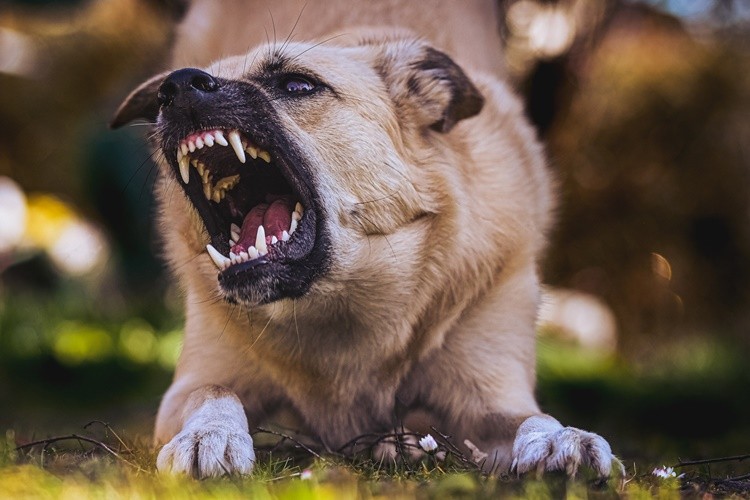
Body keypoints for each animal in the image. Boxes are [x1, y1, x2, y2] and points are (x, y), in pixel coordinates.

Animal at [110, 0, 616, 478]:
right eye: (168, 92)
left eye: (298, 85)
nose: (175, 87)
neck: (340, 305)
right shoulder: (192, 384)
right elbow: (215, 391)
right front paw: (209, 435)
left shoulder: (491, 394)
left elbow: (530, 417)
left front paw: (560, 438)